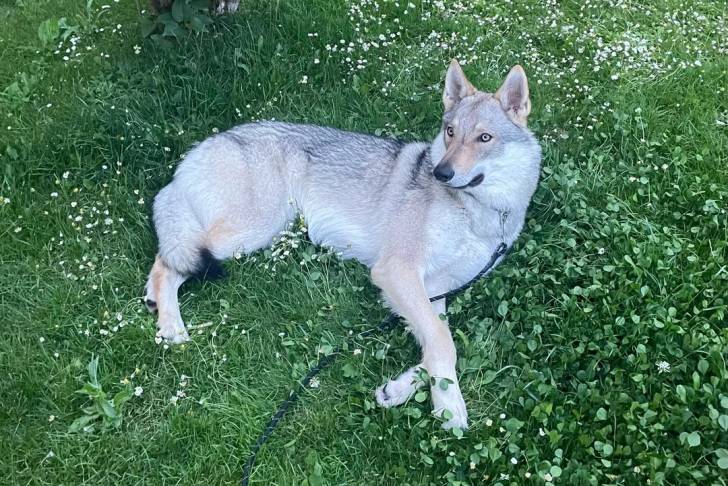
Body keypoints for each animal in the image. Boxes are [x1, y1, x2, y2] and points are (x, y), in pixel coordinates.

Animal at [144, 60, 541, 429]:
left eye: (484, 138)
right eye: (450, 131)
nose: (440, 172)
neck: (483, 213)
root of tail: (204, 144)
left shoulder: (435, 289)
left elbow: (436, 345)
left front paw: (402, 390)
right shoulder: (396, 270)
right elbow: (444, 343)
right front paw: (450, 406)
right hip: (248, 232)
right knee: (169, 260)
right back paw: (172, 326)